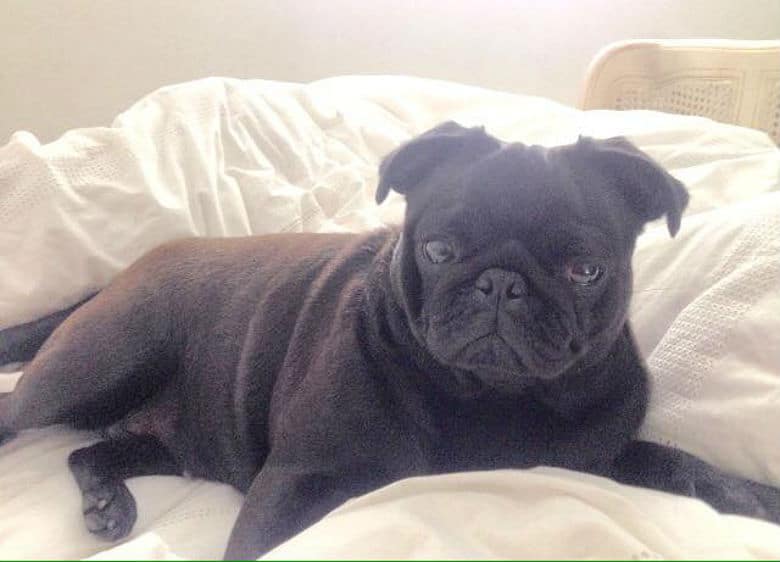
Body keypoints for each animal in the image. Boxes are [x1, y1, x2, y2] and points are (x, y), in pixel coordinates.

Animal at [1, 122, 780, 556]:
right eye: (438, 250)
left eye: (584, 269)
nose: (502, 284)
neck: (488, 399)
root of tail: (118, 275)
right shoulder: (294, 480)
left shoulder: (594, 457)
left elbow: (674, 463)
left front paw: (749, 494)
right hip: (102, 361)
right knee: (21, 409)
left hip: (171, 442)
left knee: (91, 451)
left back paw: (108, 502)